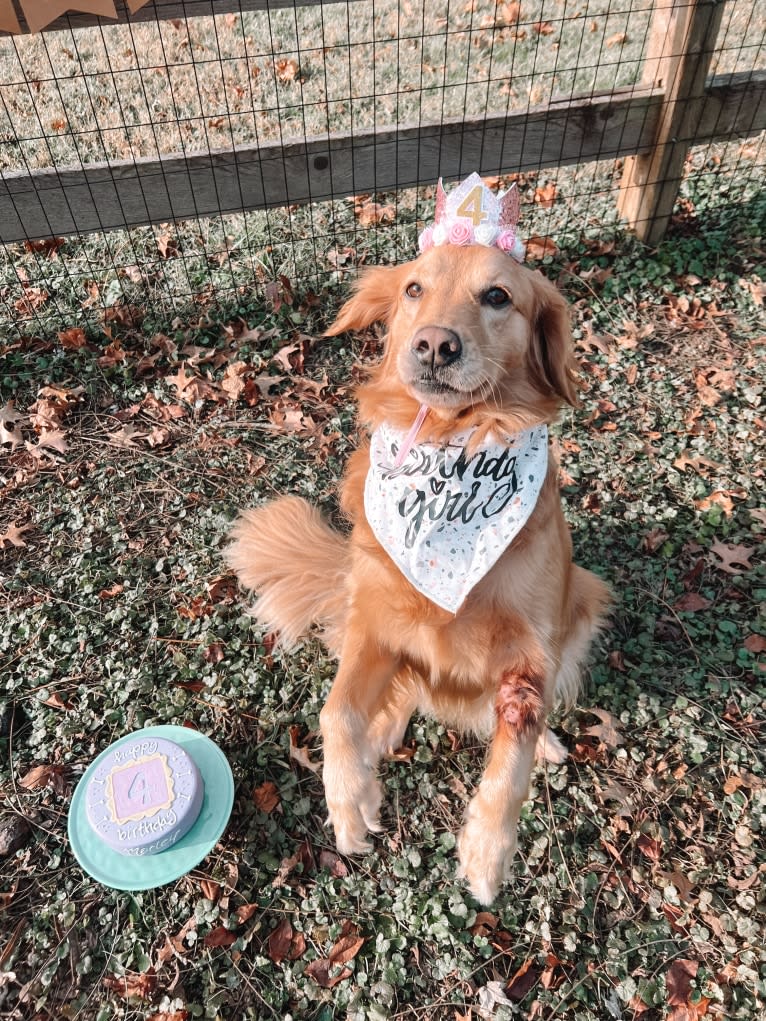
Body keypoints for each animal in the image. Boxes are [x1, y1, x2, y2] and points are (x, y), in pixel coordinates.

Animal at [224, 231, 608, 902]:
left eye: (497, 296)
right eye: (413, 289)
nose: (434, 344)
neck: (454, 447)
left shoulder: (530, 658)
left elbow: (512, 754)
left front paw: (486, 854)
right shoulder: (376, 626)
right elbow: (335, 711)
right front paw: (349, 804)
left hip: (583, 593)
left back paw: (548, 745)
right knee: (398, 697)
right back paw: (382, 735)